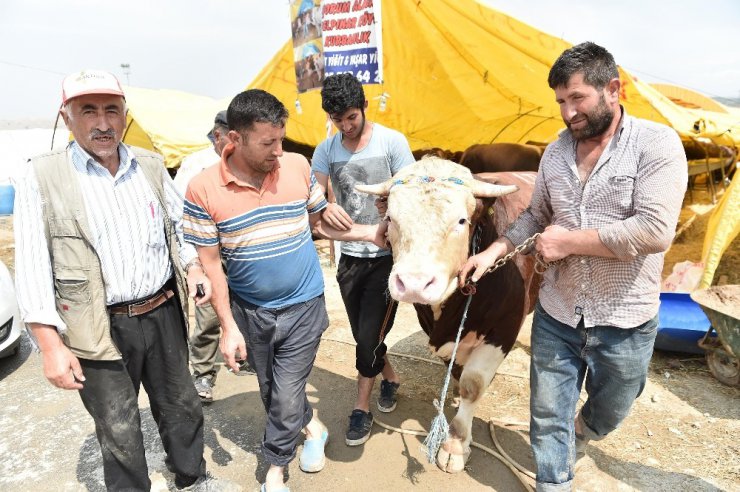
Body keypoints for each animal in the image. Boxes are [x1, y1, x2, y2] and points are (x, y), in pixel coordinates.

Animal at [356, 158, 540, 472]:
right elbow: (455, 369)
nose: (414, 284)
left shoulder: (504, 328)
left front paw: (456, 442)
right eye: (391, 218)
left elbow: (472, 384)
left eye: (461, 221)